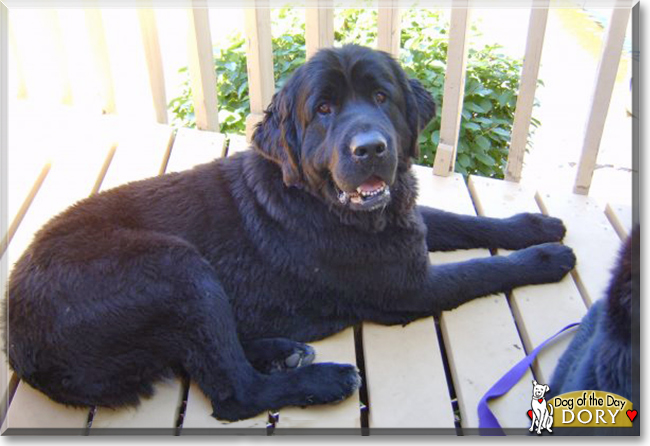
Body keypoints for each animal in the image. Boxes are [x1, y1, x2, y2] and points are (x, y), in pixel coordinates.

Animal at [3, 45, 572, 422]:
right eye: (323, 109)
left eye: (381, 97)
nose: (370, 147)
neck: (321, 201)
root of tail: (21, 344)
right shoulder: (408, 289)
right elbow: (484, 269)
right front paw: (548, 257)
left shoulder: (406, 222)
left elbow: (460, 221)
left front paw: (535, 224)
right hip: (177, 267)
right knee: (232, 393)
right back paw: (321, 379)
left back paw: (281, 350)